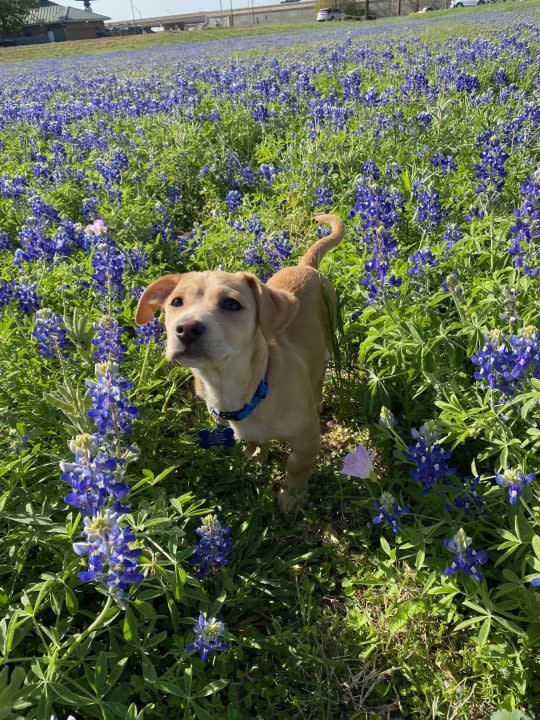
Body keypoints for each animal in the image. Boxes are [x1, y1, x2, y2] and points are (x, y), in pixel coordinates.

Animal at [137, 214, 344, 512]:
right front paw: (254, 459)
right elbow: (256, 444)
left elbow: (297, 466)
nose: (186, 328)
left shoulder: (307, 437)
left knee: (320, 373)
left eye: (232, 304)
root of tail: (306, 265)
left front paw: (291, 498)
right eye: (176, 302)